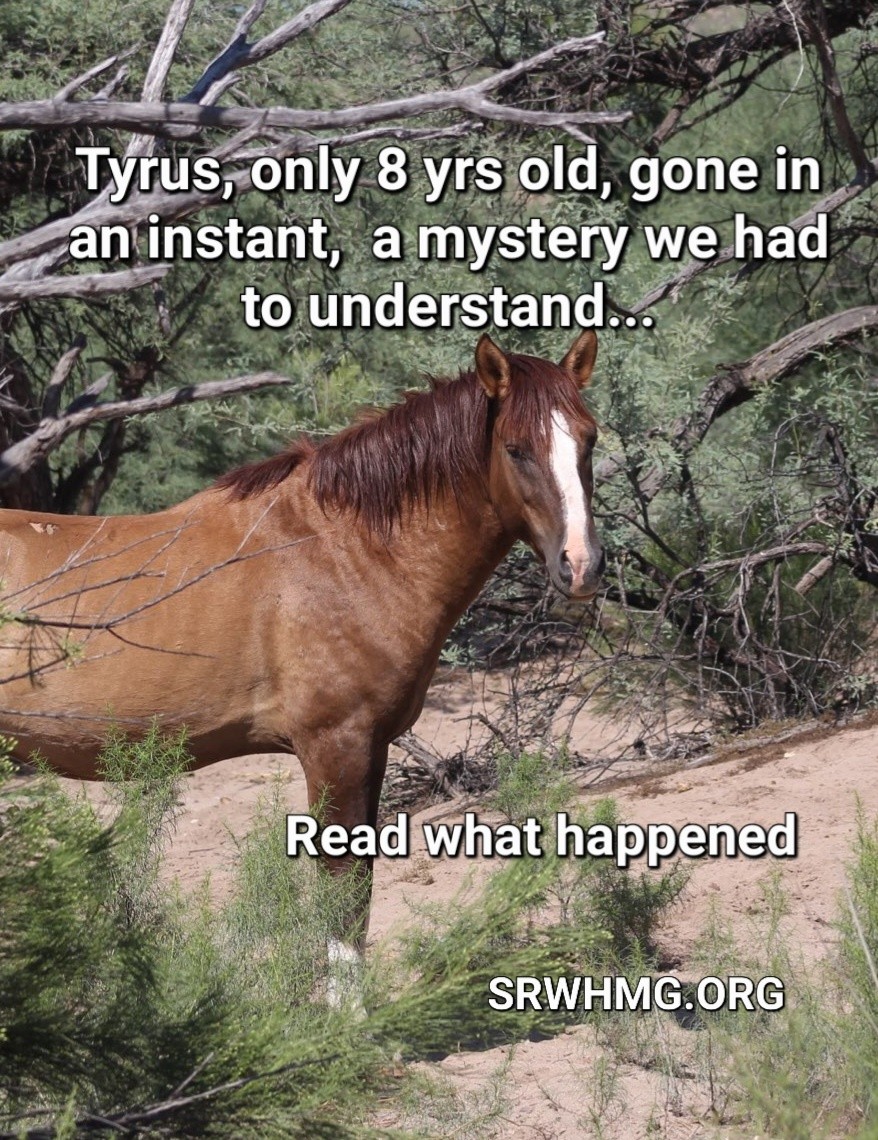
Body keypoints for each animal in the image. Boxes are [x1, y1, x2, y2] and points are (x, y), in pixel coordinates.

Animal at [0, 330, 603, 960]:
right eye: (516, 449)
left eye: (589, 438)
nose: (582, 566)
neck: (342, 549)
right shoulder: (335, 745)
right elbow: (342, 909)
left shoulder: (371, 749)